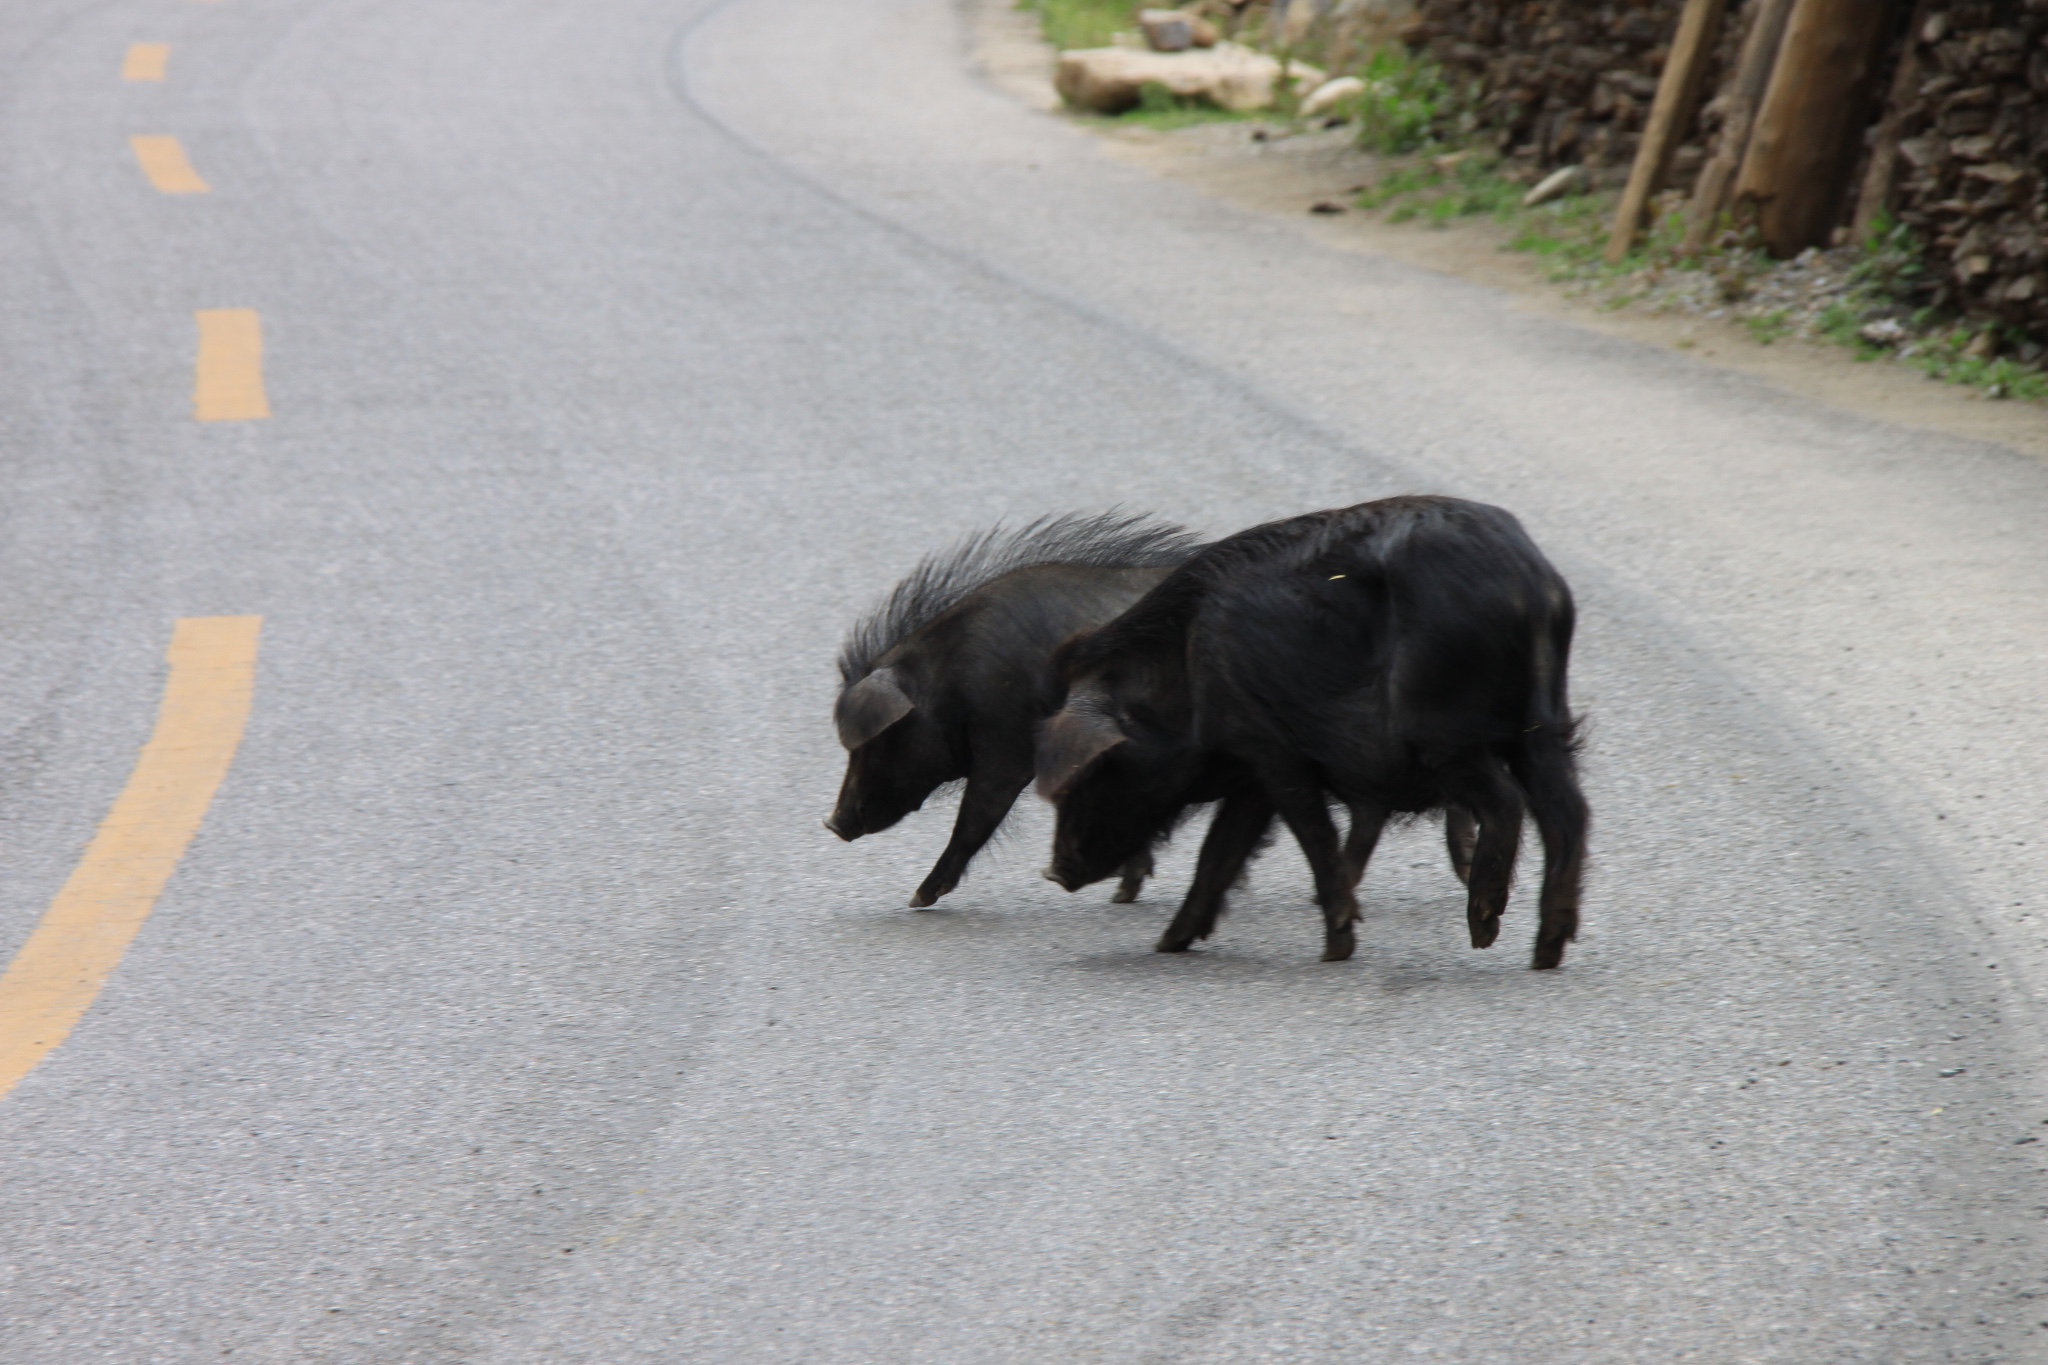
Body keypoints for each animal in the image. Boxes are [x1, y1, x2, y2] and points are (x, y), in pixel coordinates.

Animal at [827, 517, 1196, 912]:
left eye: (874, 742)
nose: (832, 823)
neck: (951, 680)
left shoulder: (1005, 751)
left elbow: (974, 821)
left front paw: (917, 899)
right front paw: (1123, 895)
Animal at [1040, 501, 1581, 970]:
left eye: (1098, 771)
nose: (1053, 871)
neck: (1184, 672)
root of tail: (1530, 586)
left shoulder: (1273, 751)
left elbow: (1312, 833)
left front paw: (1336, 949)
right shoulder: (1252, 768)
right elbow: (1219, 853)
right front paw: (1167, 945)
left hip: (1444, 732)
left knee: (1508, 802)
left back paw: (1483, 931)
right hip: (1546, 724)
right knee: (1569, 812)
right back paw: (1546, 953)